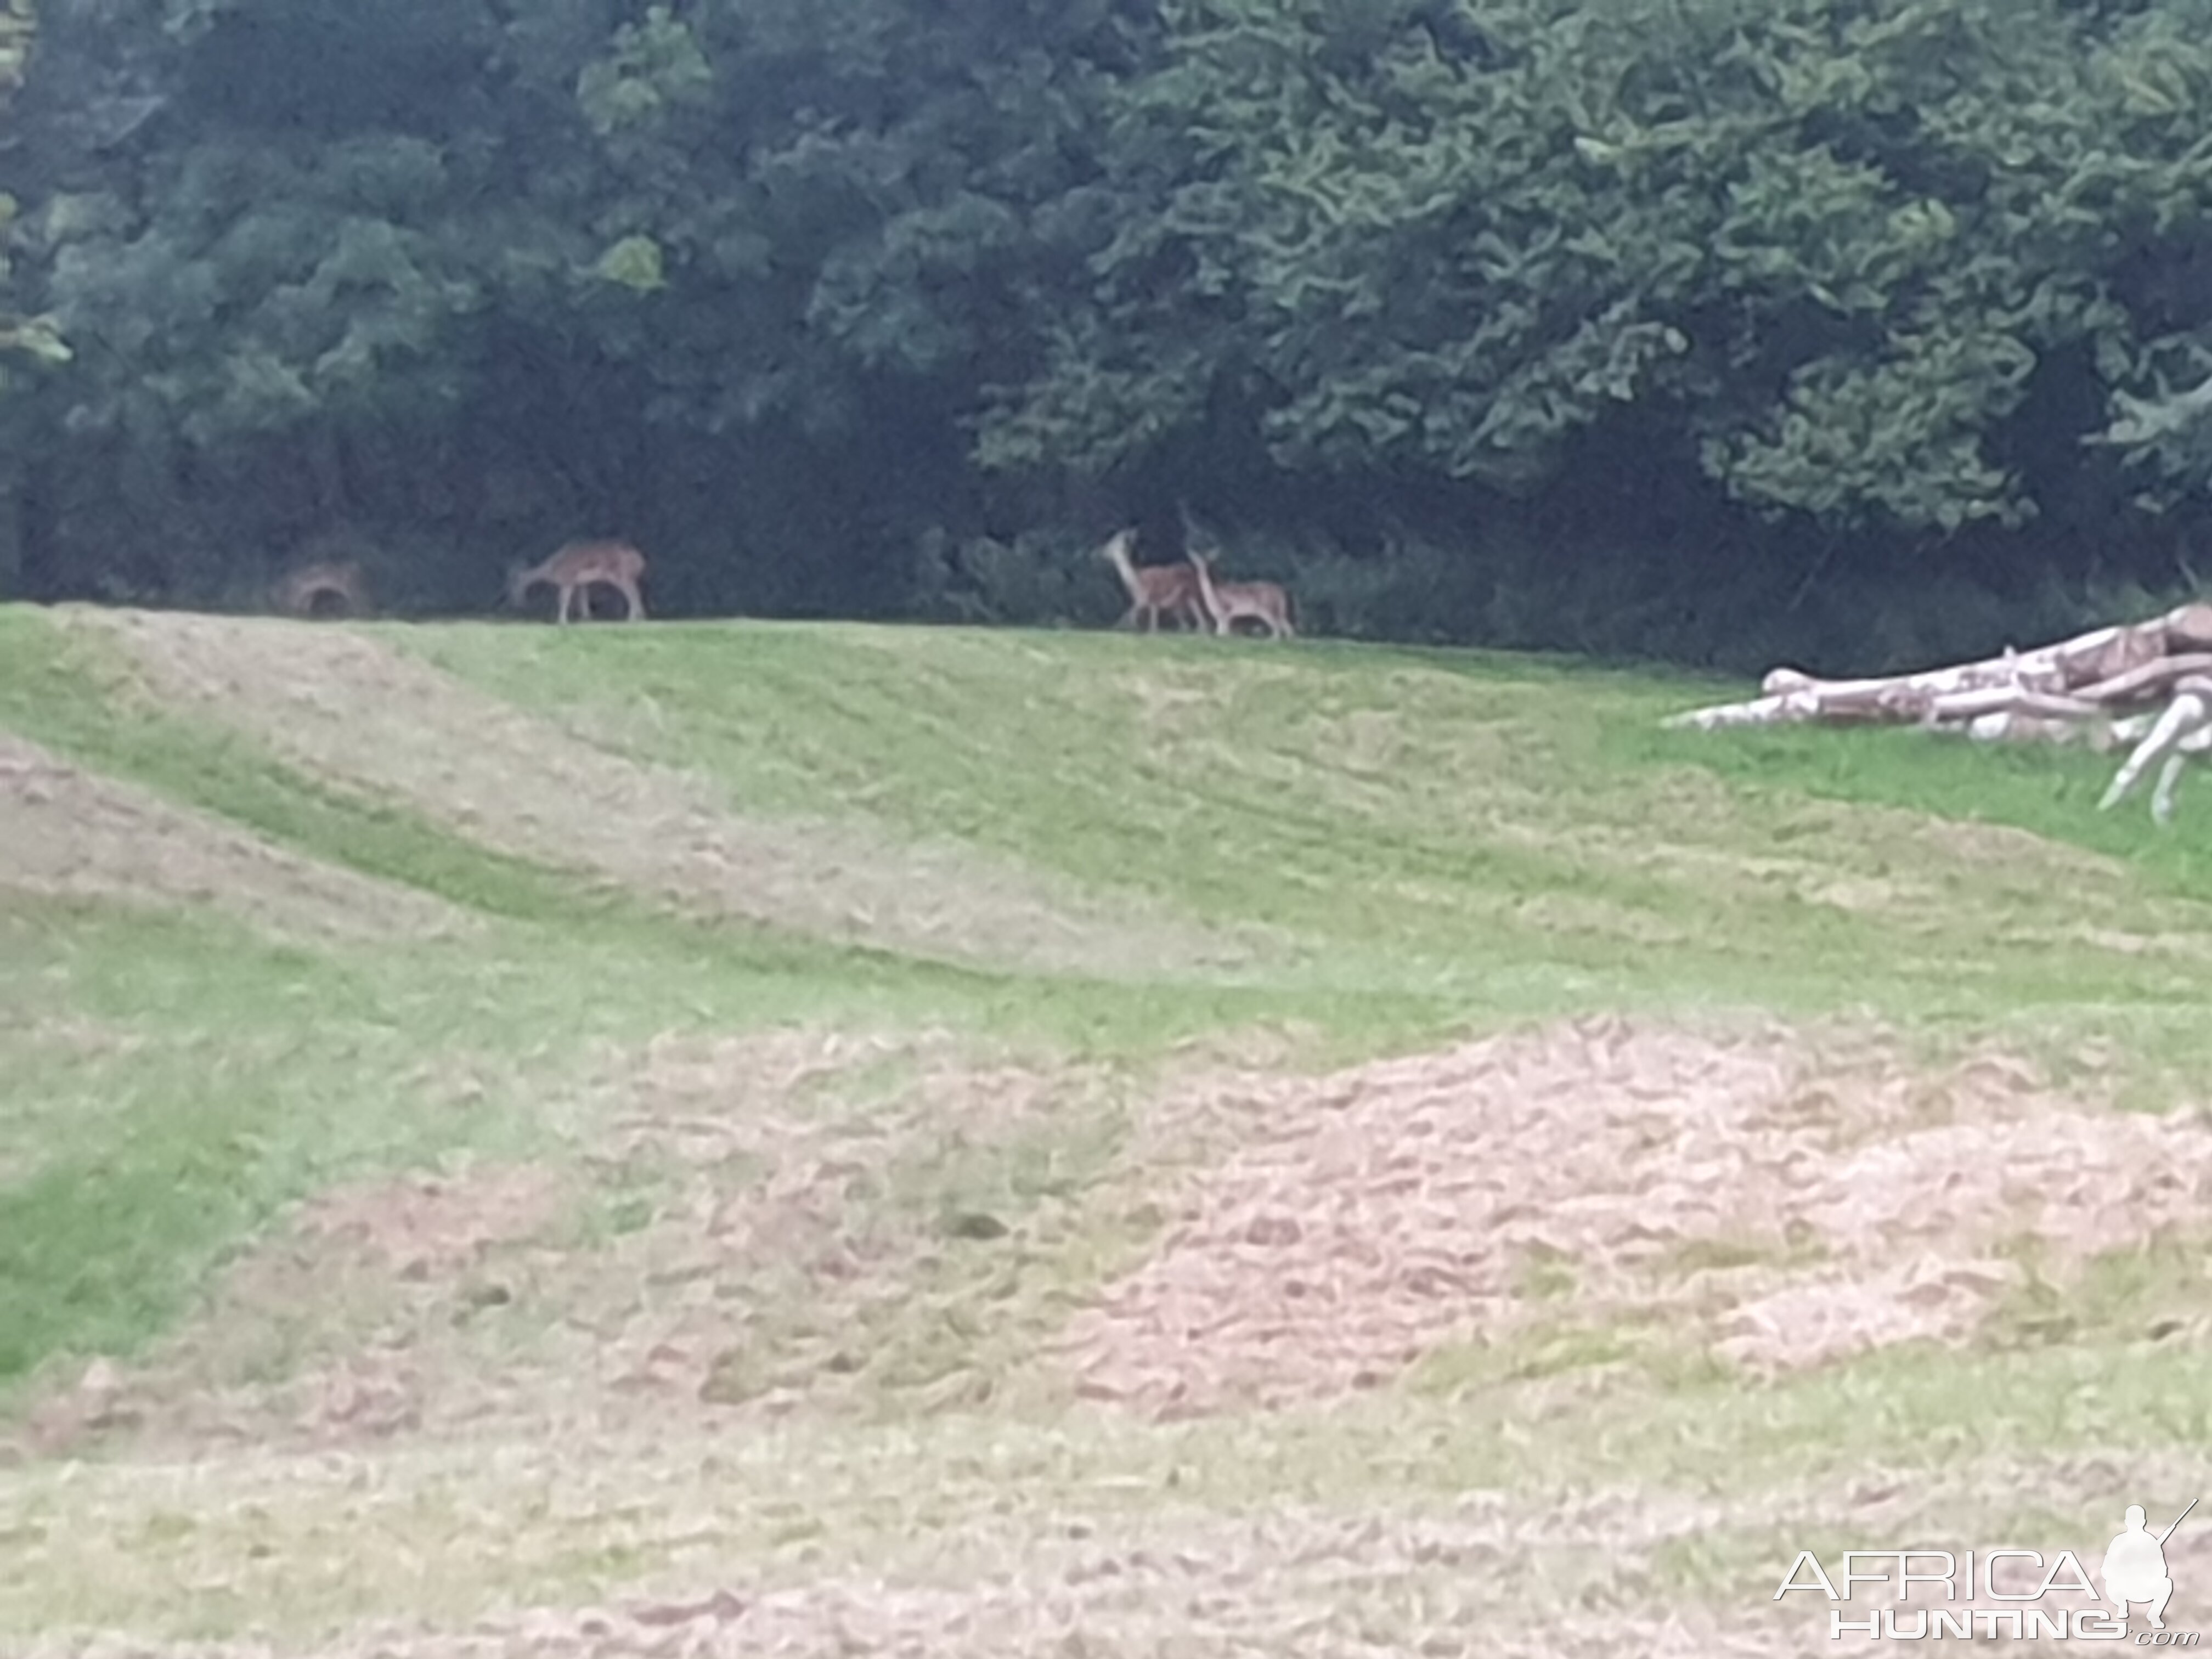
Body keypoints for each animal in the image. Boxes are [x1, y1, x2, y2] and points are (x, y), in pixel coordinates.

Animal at [513, 541, 650, 628]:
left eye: (515, 584)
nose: (518, 603)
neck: (552, 568)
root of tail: (641, 561)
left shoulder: (568, 581)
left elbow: (563, 600)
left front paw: (562, 622)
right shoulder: (581, 584)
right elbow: (582, 600)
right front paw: (586, 618)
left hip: (621, 577)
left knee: (632, 594)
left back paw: (632, 619)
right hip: (628, 578)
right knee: (636, 593)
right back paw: (641, 617)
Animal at [1092, 533, 1203, 637]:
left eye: (1111, 546)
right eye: (1109, 543)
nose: (1100, 551)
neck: (1137, 584)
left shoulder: (1147, 599)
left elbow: (1133, 615)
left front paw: (1134, 630)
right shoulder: (1151, 602)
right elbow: (1150, 623)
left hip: (1191, 594)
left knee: (1198, 615)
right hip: (1180, 602)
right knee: (1186, 623)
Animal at [1194, 553, 1291, 641]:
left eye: (1209, 564)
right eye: (1198, 564)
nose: (1203, 571)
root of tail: (1281, 591)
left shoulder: (1225, 611)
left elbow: (1224, 630)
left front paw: (1223, 638)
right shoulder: (1221, 615)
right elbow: (1220, 630)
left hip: (1267, 608)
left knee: (1277, 626)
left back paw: (1272, 640)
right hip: (1278, 610)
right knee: (1286, 625)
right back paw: (1290, 640)